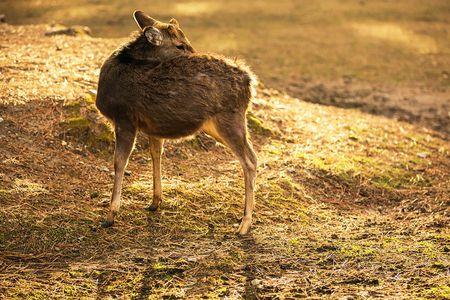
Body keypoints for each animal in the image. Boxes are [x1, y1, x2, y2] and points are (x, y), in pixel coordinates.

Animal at [96, 11, 258, 234]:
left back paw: (244, 224)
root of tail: (250, 81)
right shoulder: (151, 127)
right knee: (253, 157)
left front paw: (110, 215)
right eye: (180, 45)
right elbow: (156, 154)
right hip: (218, 124)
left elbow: (119, 162)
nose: (194, 52)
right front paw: (155, 201)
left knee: (249, 161)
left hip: (228, 119)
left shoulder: (124, 118)